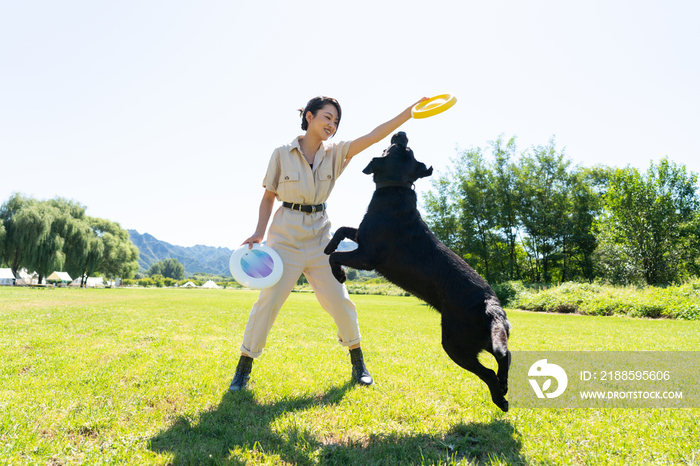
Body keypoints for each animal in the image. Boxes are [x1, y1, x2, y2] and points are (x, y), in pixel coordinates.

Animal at [326, 131, 512, 412]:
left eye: (401, 149)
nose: (401, 132)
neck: (395, 189)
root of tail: (490, 303)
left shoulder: (368, 256)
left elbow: (336, 256)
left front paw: (339, 274)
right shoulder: (362, 236)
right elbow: (341, 230)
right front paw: (328, 244)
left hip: (455, 343)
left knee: (490, 370)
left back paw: (500, 399)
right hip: (483, 338)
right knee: (505, 355)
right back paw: (504, 385)